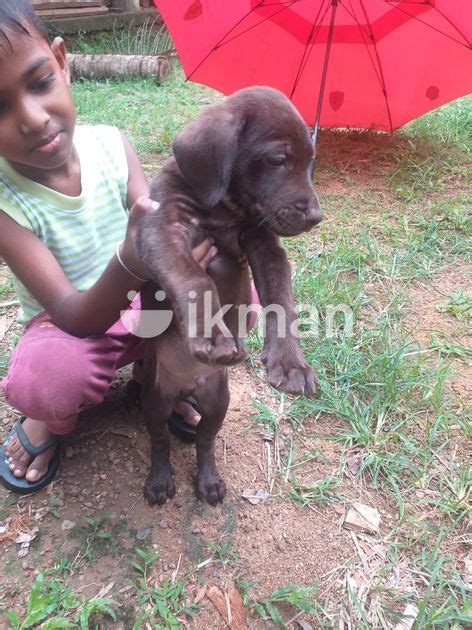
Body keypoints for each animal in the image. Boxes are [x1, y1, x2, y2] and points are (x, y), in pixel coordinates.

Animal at [136, 85, 320, 508]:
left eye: (311, 163)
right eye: (278, 159)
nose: (317, 216)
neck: (224, 208)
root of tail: (186, 387)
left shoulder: (266, 245)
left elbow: (282, 302)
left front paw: (291, 364)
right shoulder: (162, 226)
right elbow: (194, 280)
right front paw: (213, 334)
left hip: (218, 400)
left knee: (205, 442)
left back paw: (208, 481)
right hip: (154, 398)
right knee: (158, 441)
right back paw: (159, 480)